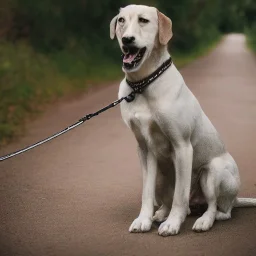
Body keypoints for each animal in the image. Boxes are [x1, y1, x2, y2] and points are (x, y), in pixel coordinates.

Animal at [109, 4, 256, 236]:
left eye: (143, 20)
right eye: (121, 20)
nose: (127, 40)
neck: (143, 85)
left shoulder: (182, 146)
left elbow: (180, 194)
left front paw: (172, 224)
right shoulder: (144, 149)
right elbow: (146, 193)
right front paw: (144, 219)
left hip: (212, 172)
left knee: (216, 208)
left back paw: (204, 220)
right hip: (161, 177)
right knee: (170, 202)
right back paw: (160, 214)